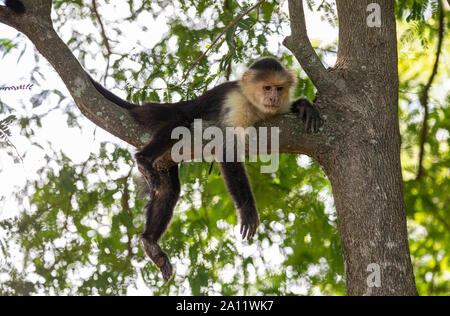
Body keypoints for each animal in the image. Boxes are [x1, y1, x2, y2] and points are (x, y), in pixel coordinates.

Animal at [7, 0, 324, 282]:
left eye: (278, 88)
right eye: (266, 87)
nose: (272, 97)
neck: (256, 106)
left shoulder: (274, 111)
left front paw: (305, 106)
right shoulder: (236, 103)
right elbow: (226, 147)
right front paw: (247, 209)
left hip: (167, 162)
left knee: (169, 189)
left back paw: (150, 241)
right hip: (161, 114)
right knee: (178, 122)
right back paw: (143, 159)